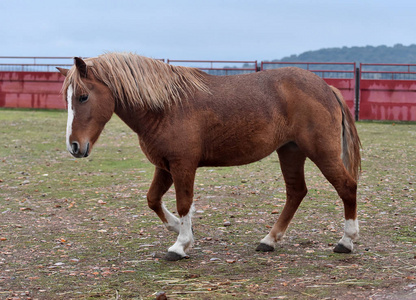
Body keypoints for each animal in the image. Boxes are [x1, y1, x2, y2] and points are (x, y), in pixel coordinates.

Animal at [57, 52, 360, 262]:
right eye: (68, 99)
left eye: (82, 97)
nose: (74, 146)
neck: (165, 107)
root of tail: (327, 88)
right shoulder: (164, 167)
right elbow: (153, 200)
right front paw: (178, 229)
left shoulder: (182, 166)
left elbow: (184, 203)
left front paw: (180, 245)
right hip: (290, 151)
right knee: (296, 192)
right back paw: (269, 240)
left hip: (320, 151)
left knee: (346, 187)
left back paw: (346, 241)